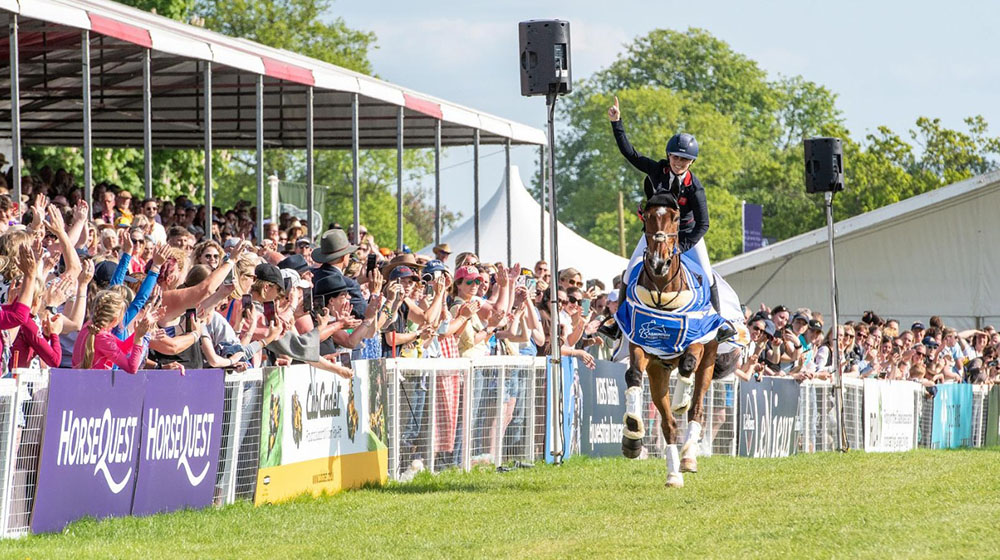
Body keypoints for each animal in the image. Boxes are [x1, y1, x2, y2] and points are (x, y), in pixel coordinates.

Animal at [620, 191, 716, 486]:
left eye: (675, 217)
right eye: (648, 216)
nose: (658, 262)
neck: (663, 291)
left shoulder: (697, 339)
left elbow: (687, 365)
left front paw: (680, 400)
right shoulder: (641, 344)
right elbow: (633, 376)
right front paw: (632, 431)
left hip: (709, 361)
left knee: (696, 409)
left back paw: (688, 458)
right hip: (659, 372)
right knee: (668, 425)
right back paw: (673, 473)